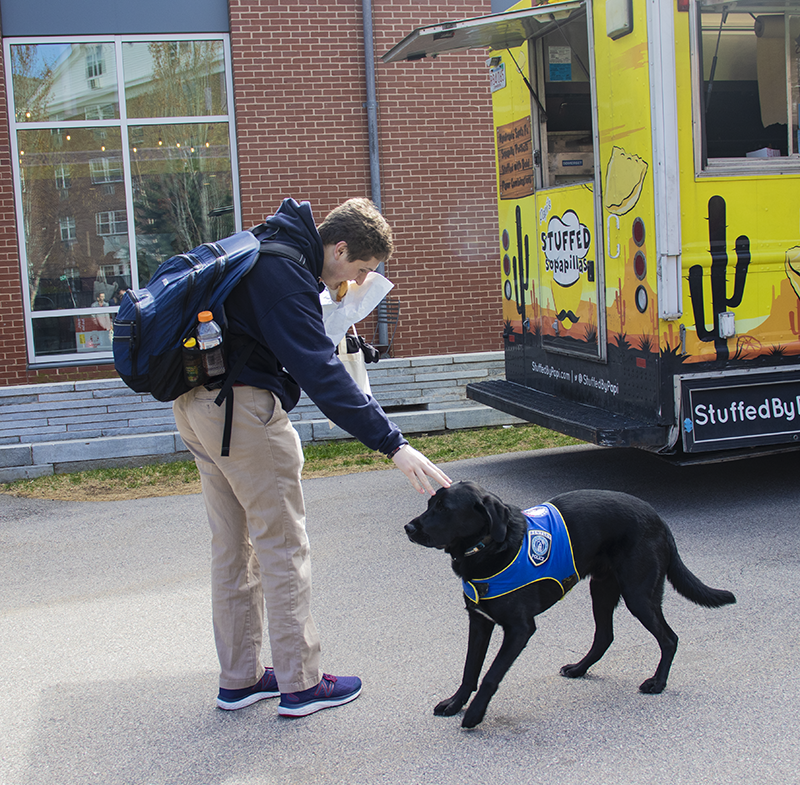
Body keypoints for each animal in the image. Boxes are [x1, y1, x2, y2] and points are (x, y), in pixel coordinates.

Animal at [406, 480, 736, 724]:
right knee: (605, 636)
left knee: (669, 638)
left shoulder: (520, 629)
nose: (409, 528)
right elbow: (469, 669)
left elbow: (490, 675)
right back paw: (579, 669)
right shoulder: (479, 621)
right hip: (602, 589)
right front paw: (455, 702)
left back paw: (657, 683)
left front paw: (474, 714)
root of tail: (659, 519)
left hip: (638, 595)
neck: (487, 549)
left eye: (444, 509)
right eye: (429, 504)